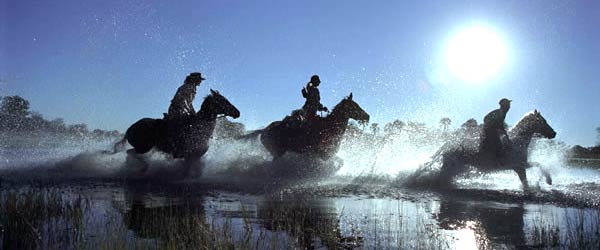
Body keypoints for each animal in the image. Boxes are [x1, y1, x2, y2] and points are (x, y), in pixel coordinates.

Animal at [414, 109, 556, 189]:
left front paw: (543, 183)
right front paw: (548, 181)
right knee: (439, 177)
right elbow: (538, 166)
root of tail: (448, 145)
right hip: (450, 167)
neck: (516, 142)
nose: (554, 133)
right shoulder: (520, 165)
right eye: (543, 121)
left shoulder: (520, 167)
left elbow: (532, 172)